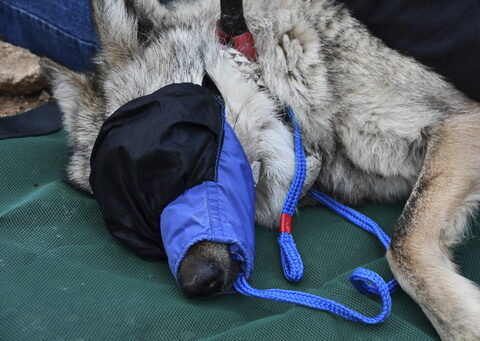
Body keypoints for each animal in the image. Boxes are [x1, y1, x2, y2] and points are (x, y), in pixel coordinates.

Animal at [42, 0, 480, 338]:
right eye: (130, 218)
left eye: (169, 160)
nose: (195, 281)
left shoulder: (459, 121)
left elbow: (402, 246)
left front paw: (462, 323)